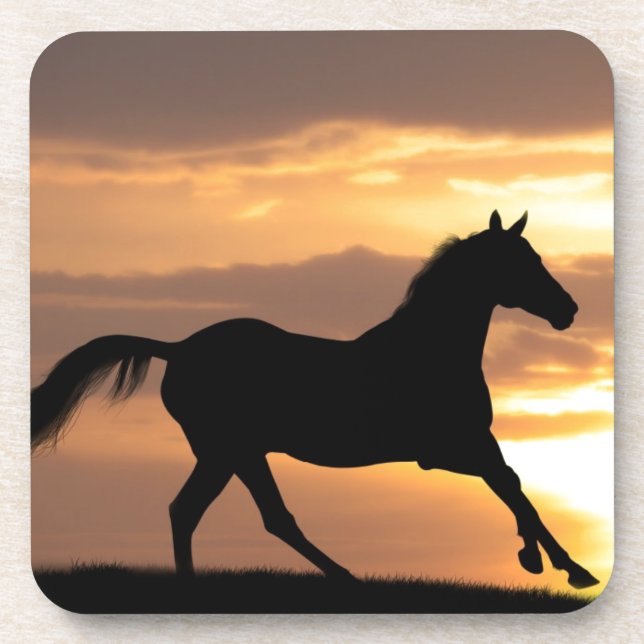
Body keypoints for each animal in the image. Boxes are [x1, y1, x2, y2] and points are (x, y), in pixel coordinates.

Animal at [31, 211, 600, 589]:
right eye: (524, 262)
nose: (568, 309)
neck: (430, 352)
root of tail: (180, 348)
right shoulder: (448, 449)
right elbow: (514, 488)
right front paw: (570, 569)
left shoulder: (463, 447)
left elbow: (514, 485)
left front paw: (541, 559)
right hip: (232, 450)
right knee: (255, 515)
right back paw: (344, 578)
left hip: (225, 453)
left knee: (196, 511)